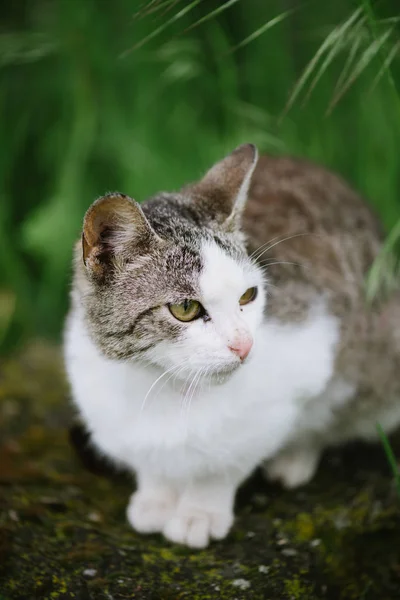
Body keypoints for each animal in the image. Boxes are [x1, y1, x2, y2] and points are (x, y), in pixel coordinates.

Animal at [63, 144, 400, 548]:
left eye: (249, 295)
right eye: (185, 308)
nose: (244, 344)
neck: (163, 383)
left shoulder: (308, 358)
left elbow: (226, 461)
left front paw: (200, 511)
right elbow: (152, 464)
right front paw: (157, 497)